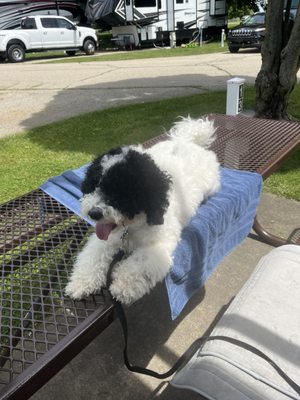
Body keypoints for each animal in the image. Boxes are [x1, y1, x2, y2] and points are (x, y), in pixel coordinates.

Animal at [65, 117, 220, 304]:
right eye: (94, 185)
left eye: (120, 192)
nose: (94, 213)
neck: (131, 227)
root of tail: (189, 142)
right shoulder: (106, 240)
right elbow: (93, 257)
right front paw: (81, 283)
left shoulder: (158, 246)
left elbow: (139, 262)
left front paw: (123, 286)